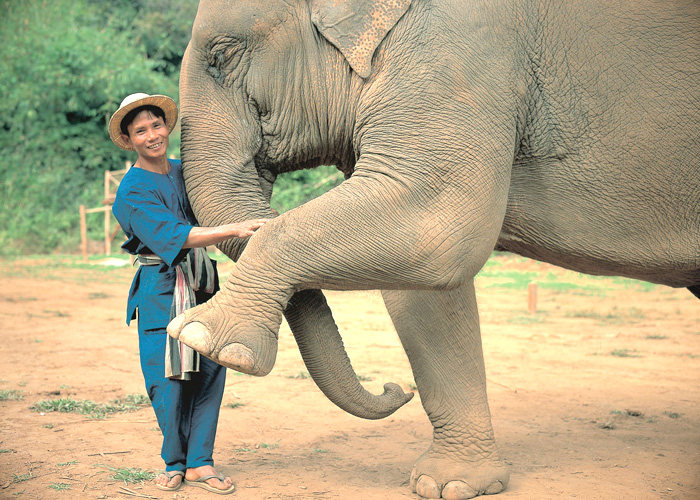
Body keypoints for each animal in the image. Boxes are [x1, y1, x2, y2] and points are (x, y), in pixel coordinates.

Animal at [170, 1, 700, 498]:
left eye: (222, 56)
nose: (393, 387)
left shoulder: (462, 51)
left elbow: (437, 222)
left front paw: (204, 339)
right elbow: (422, 285)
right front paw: (450, 486)